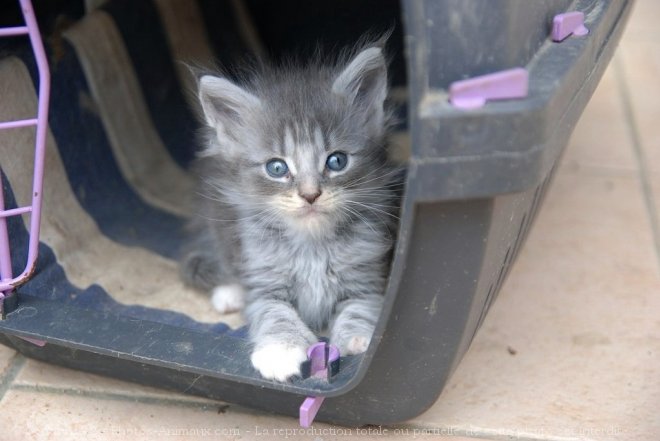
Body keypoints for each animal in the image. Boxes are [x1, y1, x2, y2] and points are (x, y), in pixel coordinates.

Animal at [180, 39, 400, 380]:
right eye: (277, 167)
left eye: (337, 161)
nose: (310, 195)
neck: (312, 244)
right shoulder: (263, 277)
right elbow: (274, 312)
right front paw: (280, 351)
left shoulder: (367, 273)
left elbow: (362, 307)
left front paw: (359, 338)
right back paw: (229, 292)